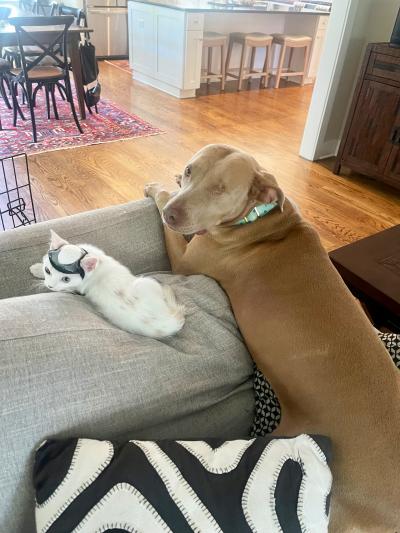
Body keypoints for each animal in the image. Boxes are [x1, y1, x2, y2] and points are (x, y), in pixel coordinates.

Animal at [30, 229, 186, 336]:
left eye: (66, 279)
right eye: (48, 270)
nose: (50, 286)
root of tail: (171, 324)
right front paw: (37, 269)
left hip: (145, 282)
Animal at [145, 143, 400, 528]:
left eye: (220, 190)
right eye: (190, 171)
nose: (173, 214)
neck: (259, 221)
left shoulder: (185, 262)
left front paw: (157, 190)